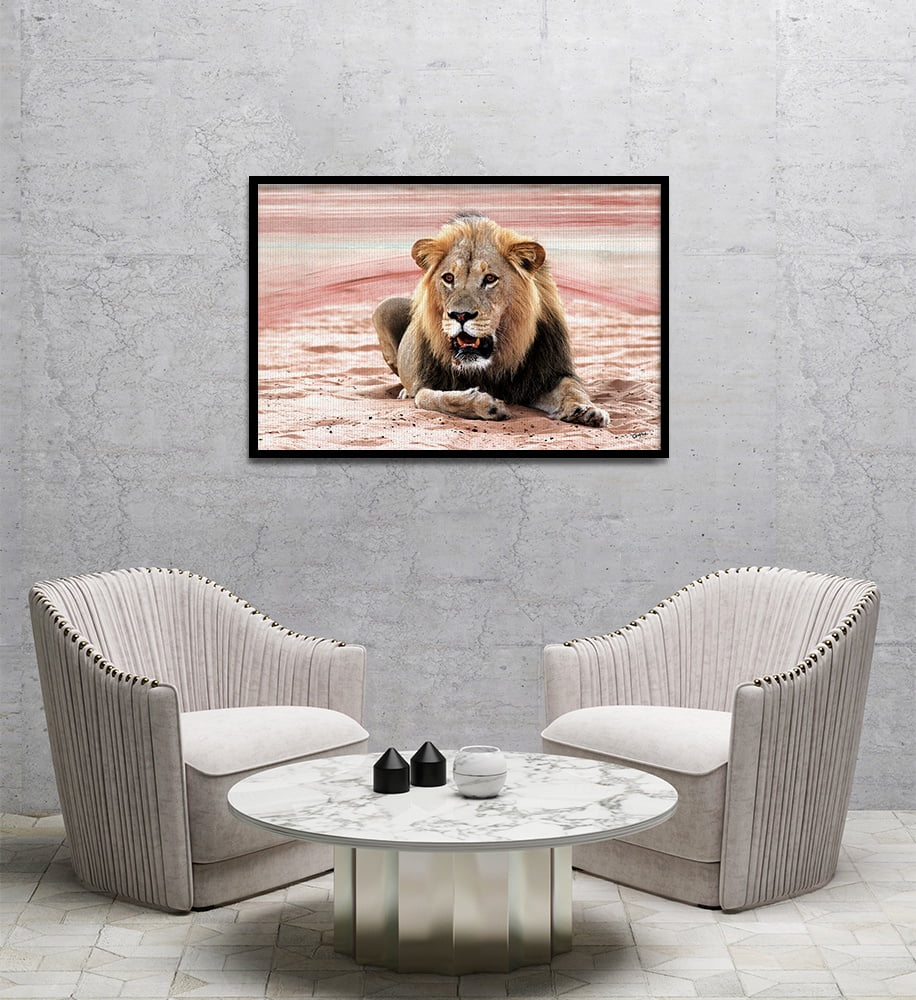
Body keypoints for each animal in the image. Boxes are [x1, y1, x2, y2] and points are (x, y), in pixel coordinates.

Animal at [372, 212, 610, 426]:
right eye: (448, 278)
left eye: (490, 279)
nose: (460, 315)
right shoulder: (428, 381)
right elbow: (430, 398)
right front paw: (486, 405)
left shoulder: (546, 375)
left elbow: (572, 388)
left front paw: (586, 410)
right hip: (383, 308)